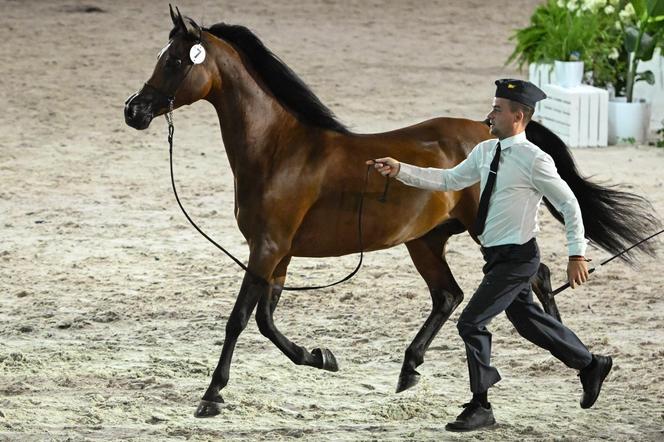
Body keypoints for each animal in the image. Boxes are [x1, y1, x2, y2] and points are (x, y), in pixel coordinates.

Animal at [124, 6, 660, 416]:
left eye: (176, 61)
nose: (134, 111)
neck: (278, 149)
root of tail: (490, 130)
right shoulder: (278, 252)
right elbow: (266, 320)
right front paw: (322, 356)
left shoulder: (268, 247)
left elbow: (239, 319)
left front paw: (212, 396)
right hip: (426, 240)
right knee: (451, 294)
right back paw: (411, 369)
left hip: (481, 230)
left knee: (533, 275)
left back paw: (575, 363)